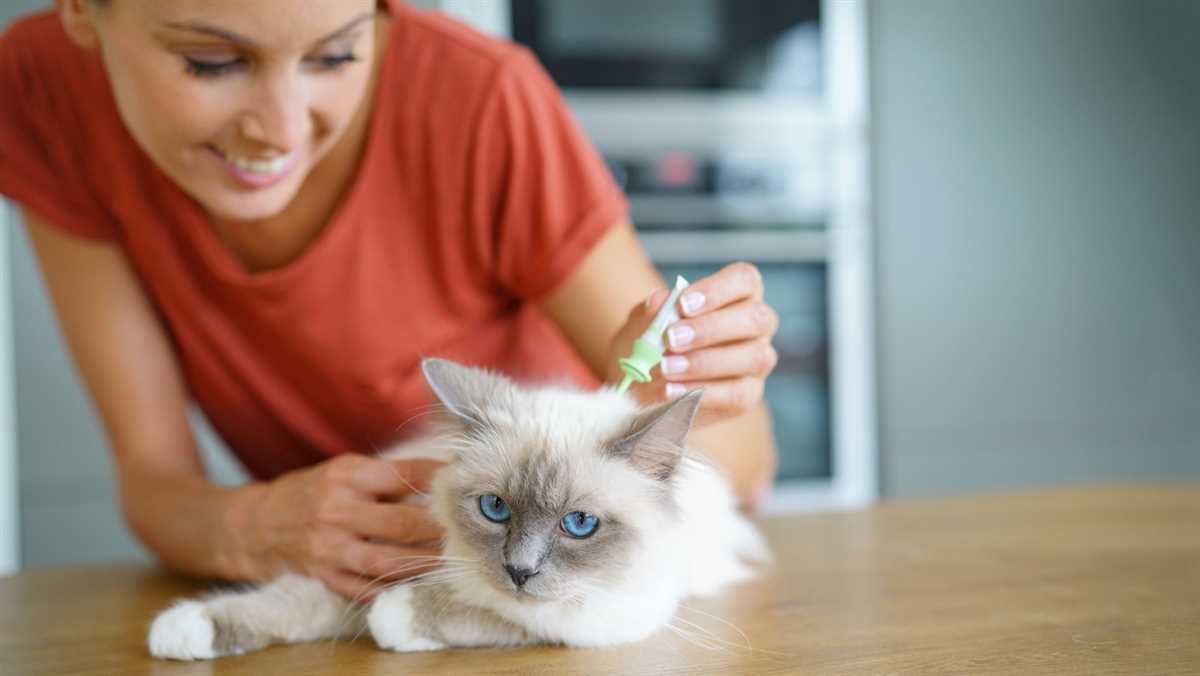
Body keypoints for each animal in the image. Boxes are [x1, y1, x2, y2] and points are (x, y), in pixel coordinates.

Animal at [147, 360, 768, 662]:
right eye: (494, 508)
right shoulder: (363, 567)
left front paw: (394, 620)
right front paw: (181, 631)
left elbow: (486, 614)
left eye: (579, 525)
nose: (519, 571)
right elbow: (278, 603)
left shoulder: (599, 615)